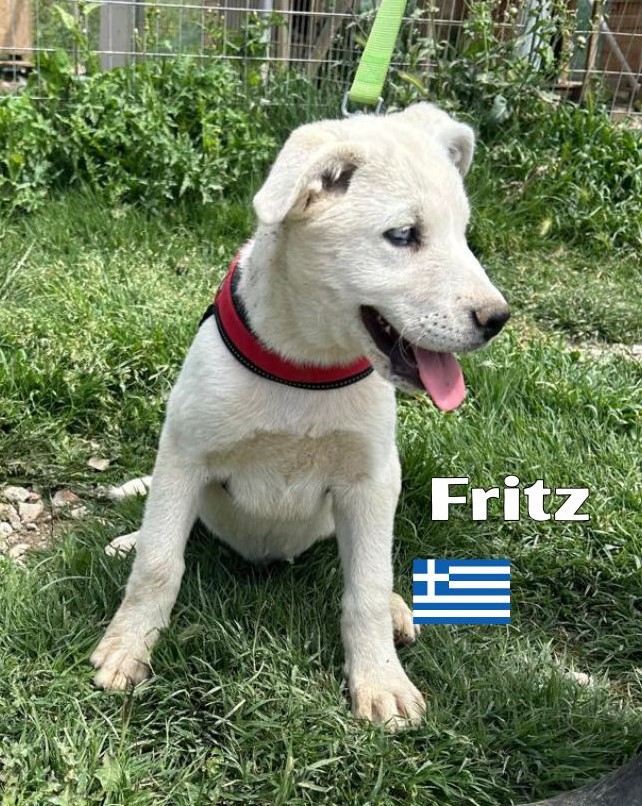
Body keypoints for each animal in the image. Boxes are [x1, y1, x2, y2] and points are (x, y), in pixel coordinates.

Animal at [91, 103, 510, 730]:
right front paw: (127, 647)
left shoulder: (371, 480)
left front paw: (380, 681)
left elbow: (365, 585)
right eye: (403, 235)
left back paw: (396, 609)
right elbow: (159, 564)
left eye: (463, 234)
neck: (307, 364)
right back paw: (128, 539)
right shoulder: (184, 456)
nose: (497, 319)